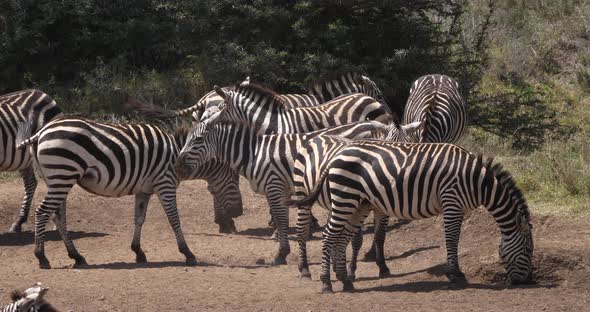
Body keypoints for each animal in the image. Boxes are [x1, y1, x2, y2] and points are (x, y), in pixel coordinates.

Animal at [176, 112, 388, 266]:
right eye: (187, 139)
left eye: (198, 139)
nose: (178, 165)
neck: (254, 153)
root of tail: (372, 125)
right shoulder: (279, 190)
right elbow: (280, 219)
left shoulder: (275, 186)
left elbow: (281, 220)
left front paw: (281, 254)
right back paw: (371, 253)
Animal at [290, 139, 536, 292]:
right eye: (528, 250)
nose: (526, 281)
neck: (477, 182)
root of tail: (336, 155)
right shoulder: (452, 202)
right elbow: (451, 240)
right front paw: (455, 275)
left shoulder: (458, 208)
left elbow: (454, 240)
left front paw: (455, 273)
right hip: (343, 198)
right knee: (328, 237)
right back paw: (325, 282)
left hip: (357, 204)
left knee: (340, 239)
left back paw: (345, 281)